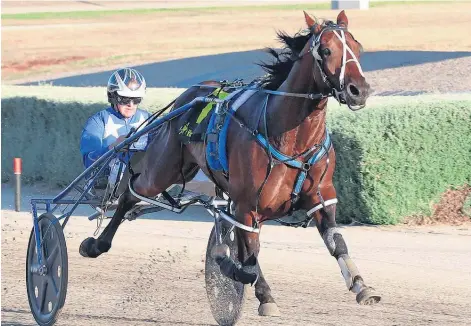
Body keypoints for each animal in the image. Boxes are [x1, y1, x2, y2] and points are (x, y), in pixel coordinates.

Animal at [79, 9, 382, 314]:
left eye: (358, 47)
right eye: (326, 49)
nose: (359, 90)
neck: (289, 137)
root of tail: (190, 95)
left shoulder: (321, 196)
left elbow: (336, 242)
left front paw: (362, 286)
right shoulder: (248, 205)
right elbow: (248, 257)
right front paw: (257, 290)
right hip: (165, 168)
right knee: (131, 193)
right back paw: (96, 244)